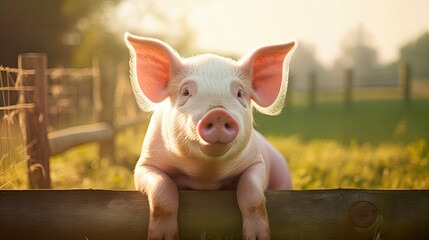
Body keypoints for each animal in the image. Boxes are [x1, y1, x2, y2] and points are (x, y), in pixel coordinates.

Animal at [125, 32, 296, 240]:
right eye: (186, 92)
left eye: (239, 93)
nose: (218, 113)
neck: (206, 176)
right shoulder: (145, 164)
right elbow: (162, 191)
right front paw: (162, 237)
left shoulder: (257, 162)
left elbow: (252, 194)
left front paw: (257, 237)